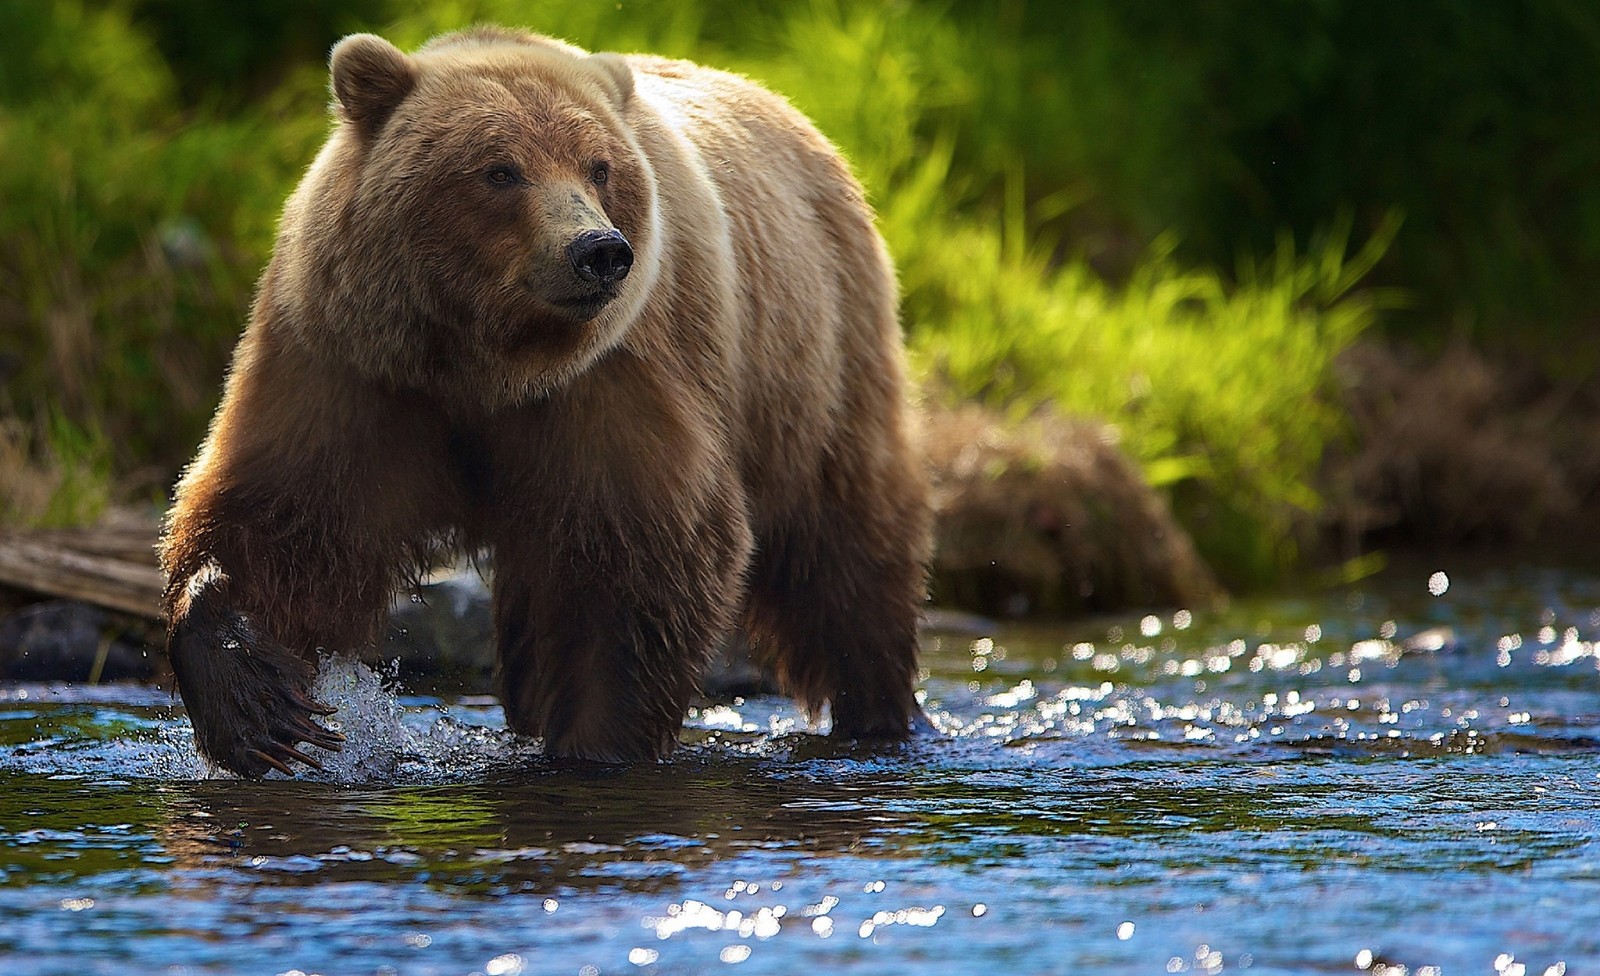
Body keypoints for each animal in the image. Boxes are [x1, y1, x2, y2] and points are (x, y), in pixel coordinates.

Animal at [156, 24, 934, 774]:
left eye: (600, 167)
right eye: (500, 170)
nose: (598, 251)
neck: (483, 363)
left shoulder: (607, 380)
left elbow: (635, 563)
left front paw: (595, 745)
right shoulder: (357, 365)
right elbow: (287, 516)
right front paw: (257, 701)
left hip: (818, 364)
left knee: (847, 549)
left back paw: (880, 713)